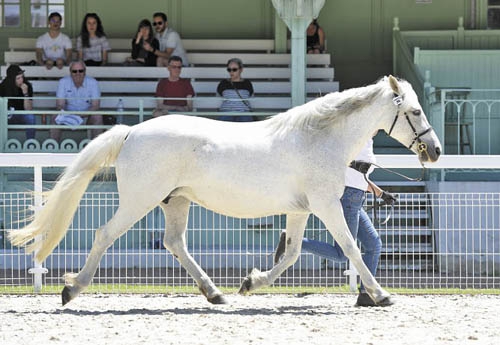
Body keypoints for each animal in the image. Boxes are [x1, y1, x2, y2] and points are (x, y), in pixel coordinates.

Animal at [9, 74, 442, 304]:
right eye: (415, 111)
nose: (435, 150)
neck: (318, 138)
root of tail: (131, 132)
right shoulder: (325, 204)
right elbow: (350, 247)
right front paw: (382, 294)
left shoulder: (301, 209)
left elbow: (293, 253)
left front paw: (251, 282)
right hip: (140, 200)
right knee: (105, 234)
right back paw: (72, 289)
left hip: (175, 201)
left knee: (175, 243)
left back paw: (215, 292)